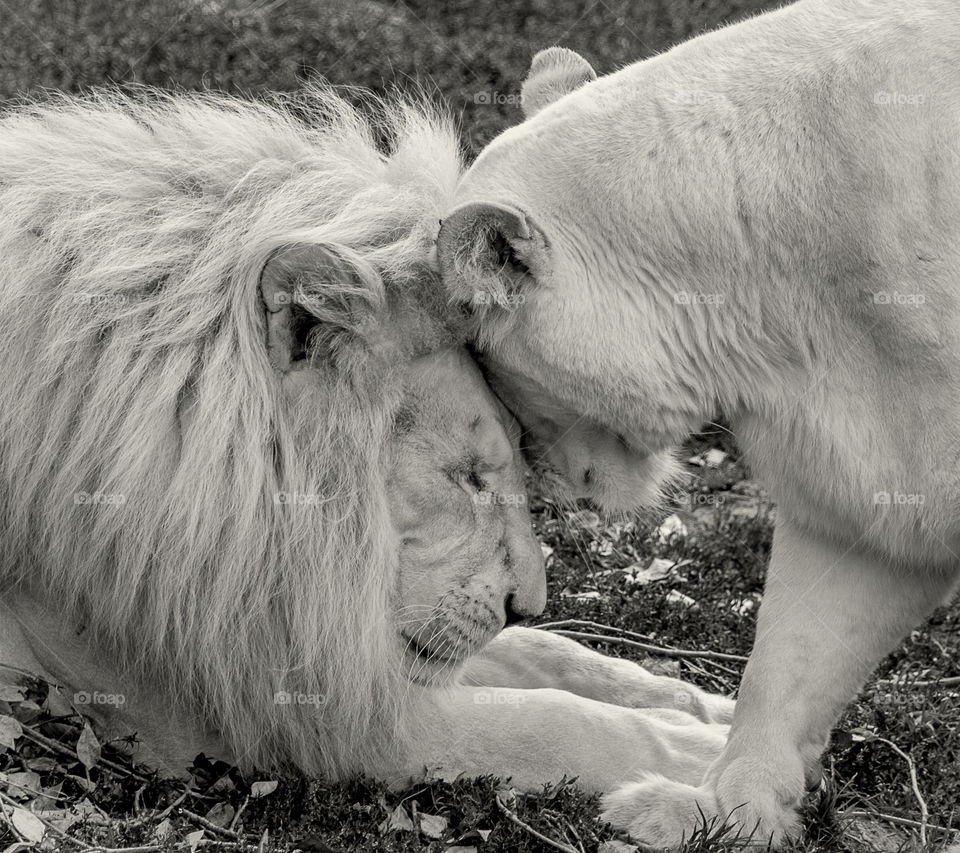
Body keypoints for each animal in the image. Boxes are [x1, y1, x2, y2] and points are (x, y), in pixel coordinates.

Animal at [0, 87, 732, 795]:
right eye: (468, 476)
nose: (524, 607)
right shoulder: (292, 700)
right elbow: (556, 722)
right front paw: (700, 757)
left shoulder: (323, 624)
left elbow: (559, 657)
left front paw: (711, 710)